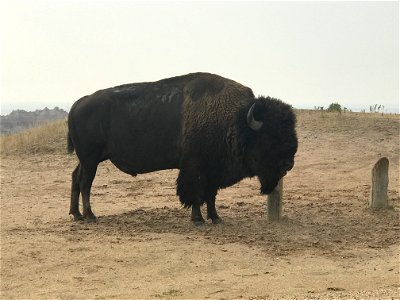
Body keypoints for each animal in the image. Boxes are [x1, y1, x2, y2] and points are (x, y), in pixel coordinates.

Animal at [67, 71, 296, 224]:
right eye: (270, 135)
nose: (289, 163)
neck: (236, 120)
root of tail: (78, 104)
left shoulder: (213, 170)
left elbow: (211, 195)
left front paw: (216, 218)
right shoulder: (195, 167)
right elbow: (195, 193)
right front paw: (198, 219)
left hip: (89, 159)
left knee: (76, 178)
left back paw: (76, 215)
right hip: (90, 158)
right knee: (85, 182)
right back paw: (90, 216)